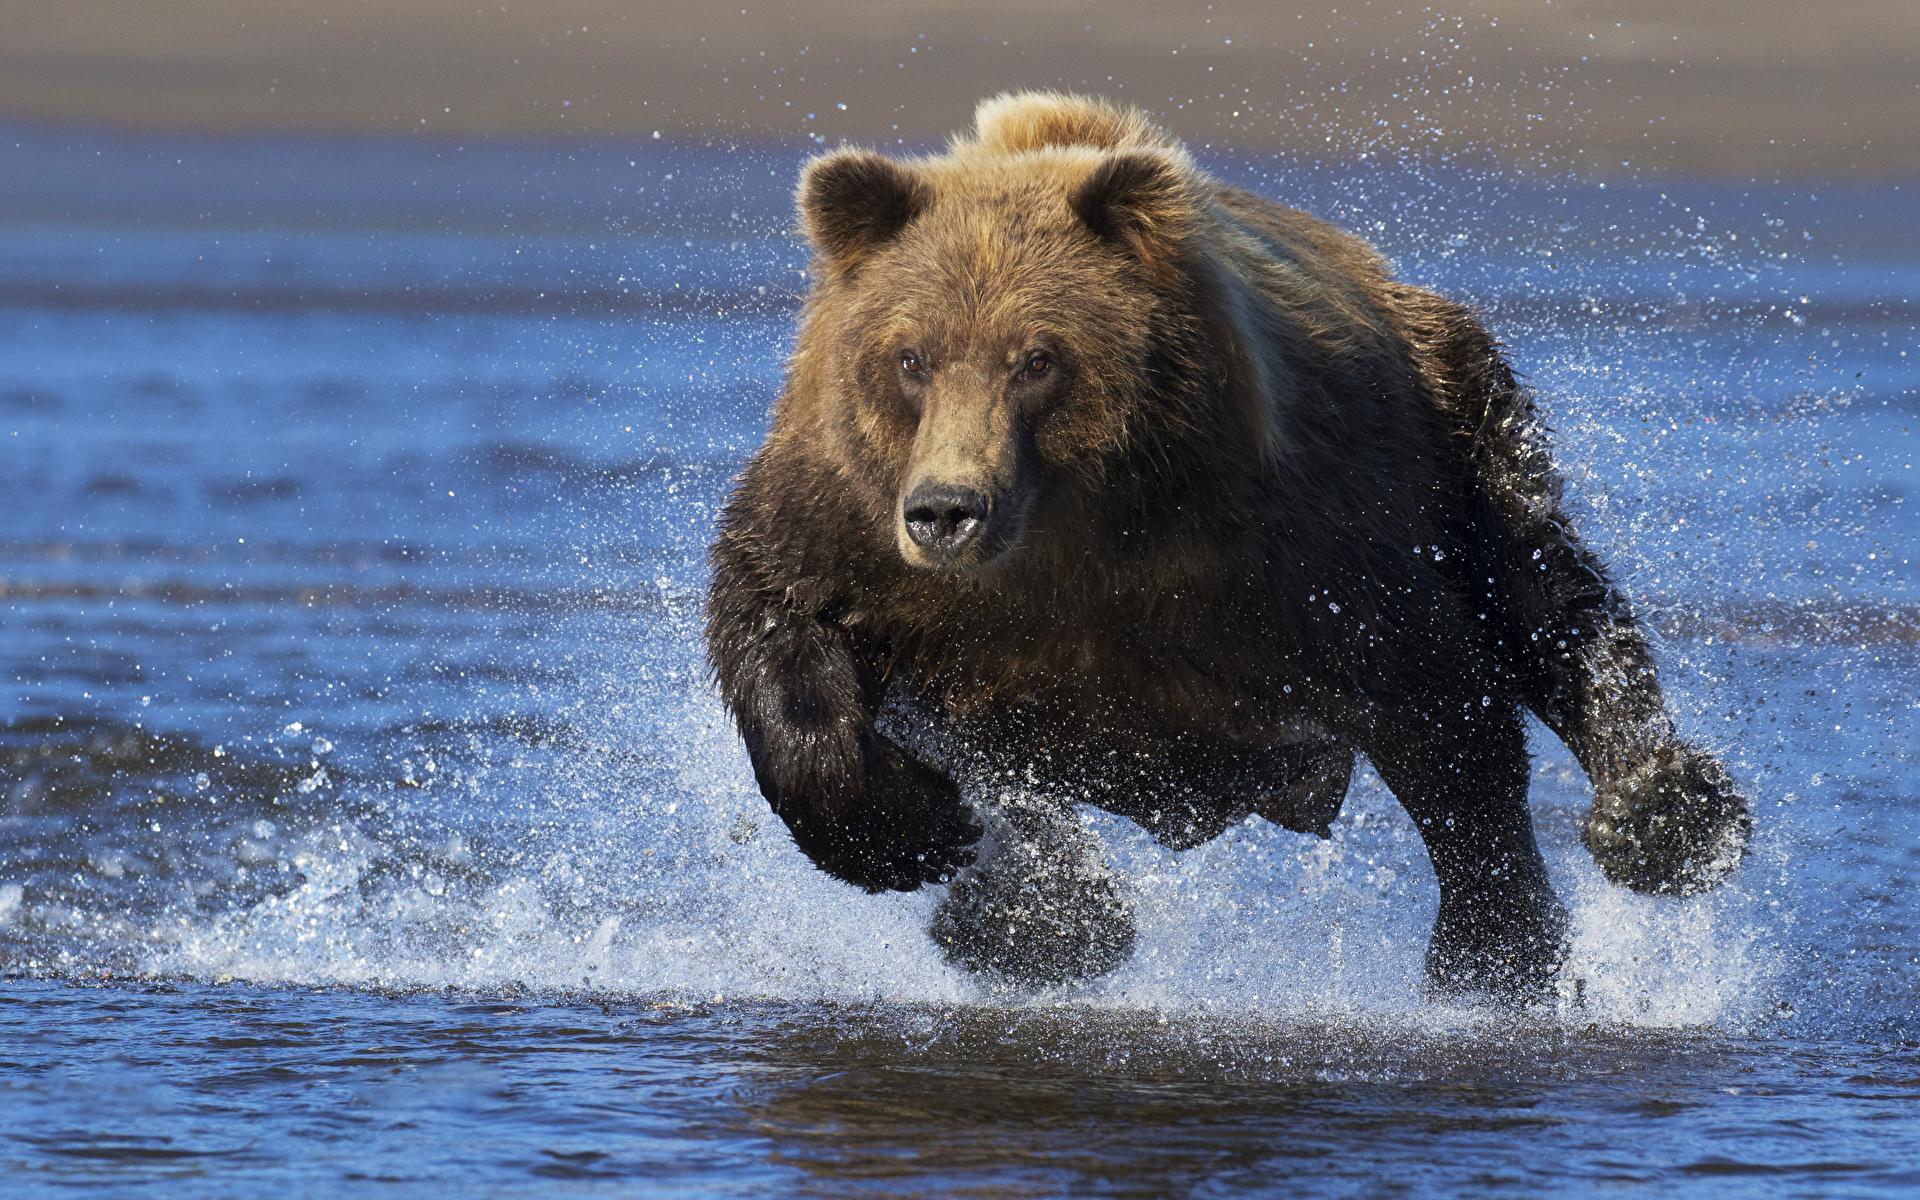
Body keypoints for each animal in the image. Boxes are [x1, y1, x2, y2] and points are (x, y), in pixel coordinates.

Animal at [710, 91, 1758, 990]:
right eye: (909, 357)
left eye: (1038, 359)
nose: (945, 510)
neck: (1075, 537)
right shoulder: (852, 527)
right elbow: (777, 623)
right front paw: (915, 838)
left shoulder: (1293, 544)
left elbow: (1444, 711)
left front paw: (1494, 954)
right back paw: (1033, 918)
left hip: (1450, 417)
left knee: (1544, 596)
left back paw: (1662, 812)